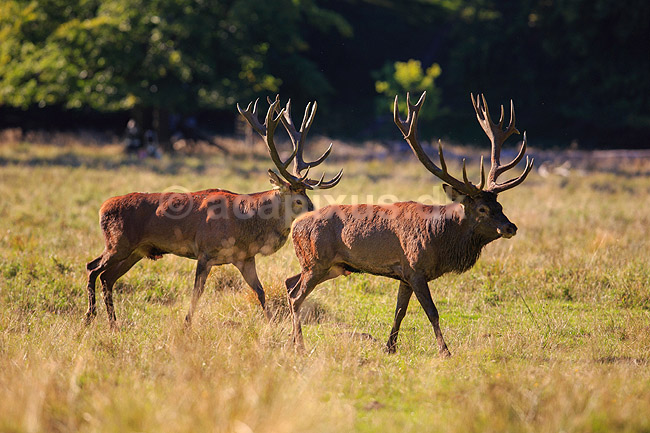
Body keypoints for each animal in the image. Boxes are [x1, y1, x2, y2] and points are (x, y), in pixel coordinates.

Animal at [84, 95, 342, 328]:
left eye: (309, 196)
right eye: (298, 200)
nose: (314, 213)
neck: (244, 226)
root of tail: (102, 207)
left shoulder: (245, 258)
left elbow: (260, 292)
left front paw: (272, 327)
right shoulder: (205, 251)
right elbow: (197, 293)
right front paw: (186, 327)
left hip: (136, 251)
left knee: (107, 277)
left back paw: (113, 324)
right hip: (118, 242)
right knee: (92, 268)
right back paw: (89, 317)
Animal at [285, 92, 533, 356]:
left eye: (500, 205)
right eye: (482, 209)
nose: (510, 227)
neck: (440, 239)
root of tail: (295, 225)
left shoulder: (404, 275)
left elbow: (399, 312)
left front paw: (390, 347)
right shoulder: (415, 268)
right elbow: (432, 312)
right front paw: (445, 351)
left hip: (329, 266)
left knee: (290, 284)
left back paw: (291, 340)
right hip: (316, 261)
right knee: (296, 297)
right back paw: (300, 345)